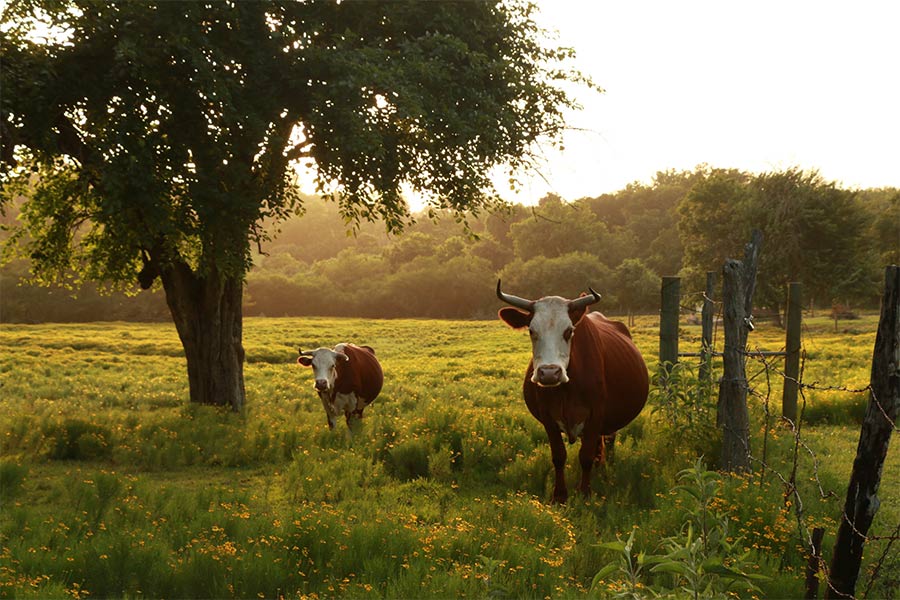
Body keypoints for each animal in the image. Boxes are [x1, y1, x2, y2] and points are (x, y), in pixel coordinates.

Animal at [496, 282, 652, 502]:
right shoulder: (548, 418)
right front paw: (560, 496)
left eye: (569, 331)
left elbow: (585, 457)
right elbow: (559, 456)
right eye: (532, 331)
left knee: (608, 440)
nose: (549, 373)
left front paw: (584, 494)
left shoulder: (596, 415)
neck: (567, 390)